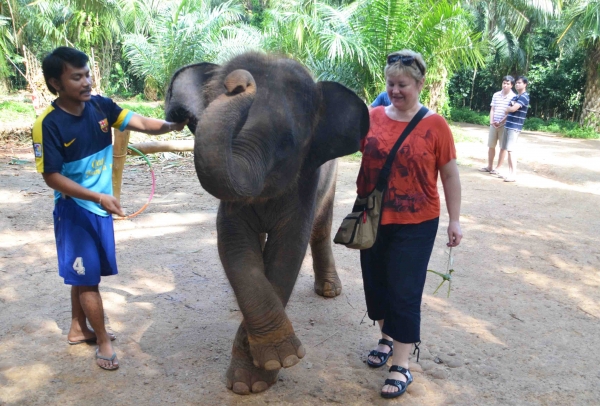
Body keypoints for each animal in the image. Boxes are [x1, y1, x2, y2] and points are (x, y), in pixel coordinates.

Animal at [165, 51, 370, 394]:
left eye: (287, 143)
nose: (239, 83)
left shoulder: (306, 178)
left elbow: (288, 249)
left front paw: (269, 368)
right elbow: (234, 244)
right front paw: (253, 377)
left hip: (333, 177)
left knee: (321, 228)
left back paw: (329, 290)